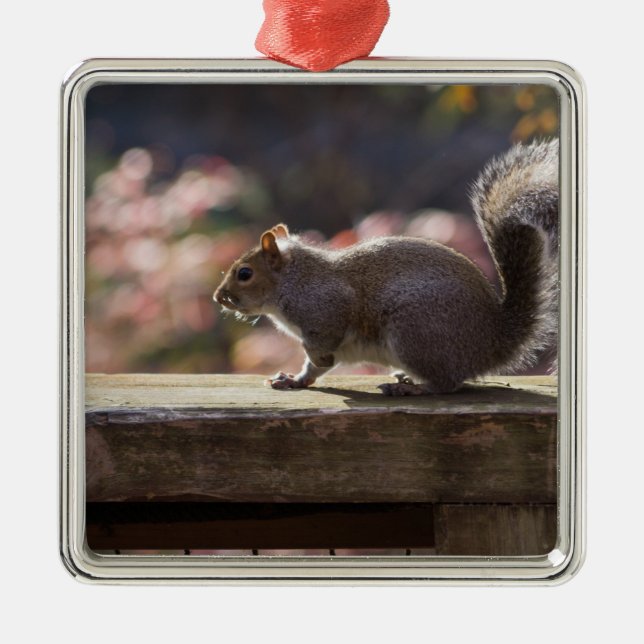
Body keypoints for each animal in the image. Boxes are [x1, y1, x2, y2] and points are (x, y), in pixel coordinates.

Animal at [214, 139, 559, 395]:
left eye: (244, 273)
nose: (219, 297)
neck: (292, 280)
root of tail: (494, 341)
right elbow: (314, 367)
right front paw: (295, 380)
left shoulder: (325, 308)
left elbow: (320, 350)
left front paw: (312, 365)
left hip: (415, 330)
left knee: (447, 384)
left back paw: (412, 388)